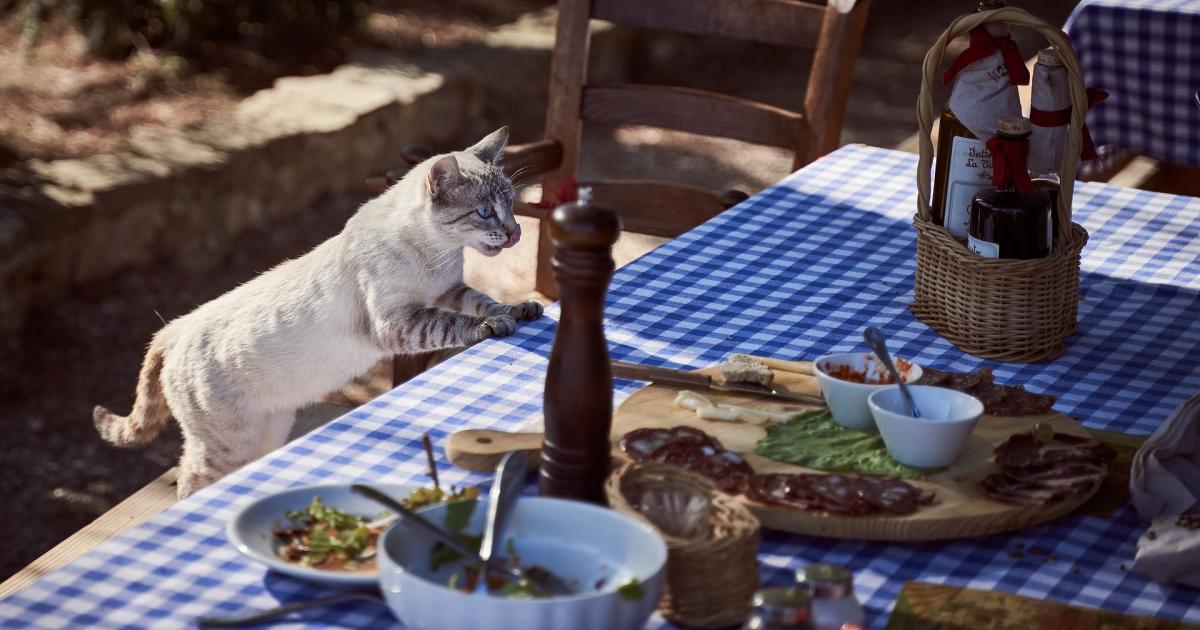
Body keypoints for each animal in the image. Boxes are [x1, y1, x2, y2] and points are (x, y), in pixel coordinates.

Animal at [93, 125, 544, 494]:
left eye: (512, 204)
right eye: (485, 212)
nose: (515, 232)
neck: (439, 255)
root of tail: (177, 326)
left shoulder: (447, 290)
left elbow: (482, 301)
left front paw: (520, 309)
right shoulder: (398, 321)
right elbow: (456, 323)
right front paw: (493, 325)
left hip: (269, 431)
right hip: (228, 444)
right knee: (189, 482)